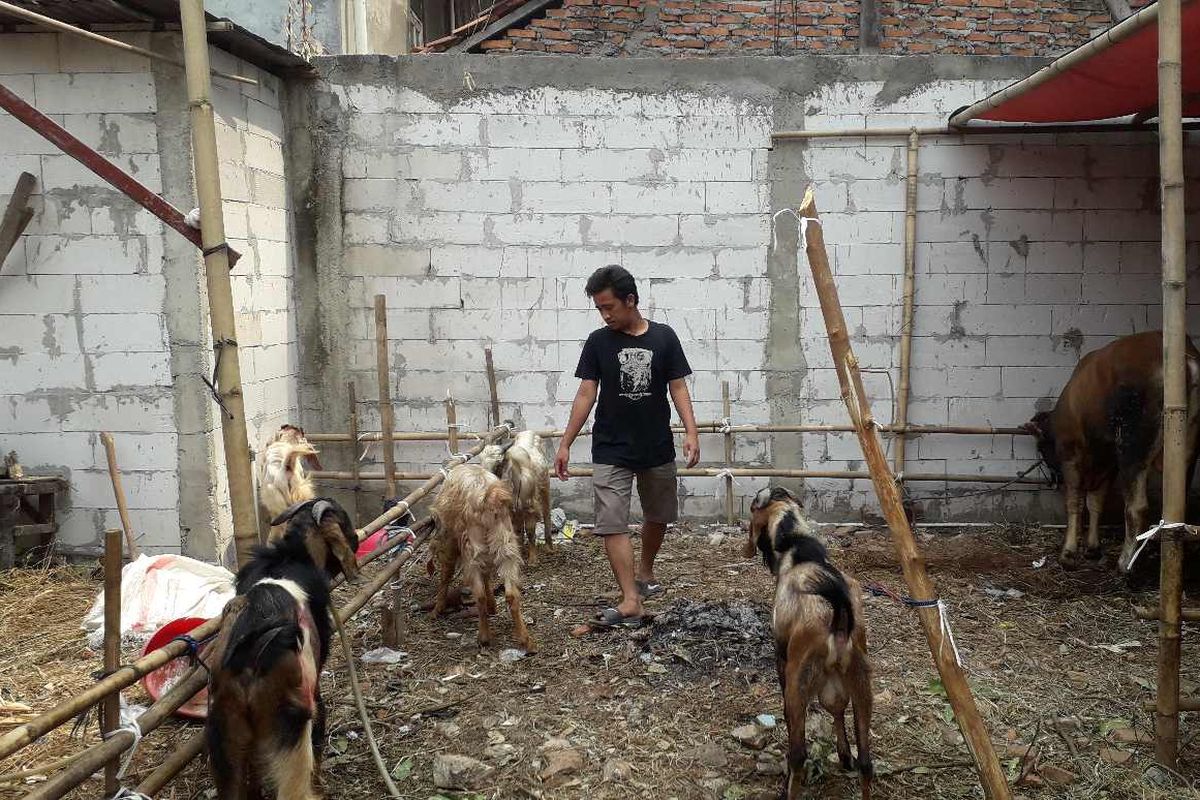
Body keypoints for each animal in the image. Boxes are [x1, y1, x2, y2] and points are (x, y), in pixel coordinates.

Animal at [206, 496, 357, 796]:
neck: (291, 557)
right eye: (344, 520)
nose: (357, 540)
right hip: (292, 730)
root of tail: (248, 658)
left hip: (227, 732)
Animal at [424, 465, 532, 652]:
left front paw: (436, 610)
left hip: (472, 550)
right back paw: (526, 640)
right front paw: (493, 606)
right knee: (511, 594)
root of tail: (490, 499)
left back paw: (484, 637)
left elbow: (446, 575)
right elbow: (487, 575)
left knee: (479, 595)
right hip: (506, 547)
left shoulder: (450, 543)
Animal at [477, 429, 552, 566]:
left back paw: (549, 547)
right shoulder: (510, 512)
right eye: (481, 461)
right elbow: (516, 531)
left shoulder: (529, 507)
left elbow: (530, 531)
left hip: (545, 486)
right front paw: (520, 554)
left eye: (498, 464)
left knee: (546, 513)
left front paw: (533, 559)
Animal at [739, 489, 873, 800]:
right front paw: (844, 755)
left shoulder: (782, 658)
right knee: (866, 761)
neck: (797, 545)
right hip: (861, 684)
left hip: (798, 683)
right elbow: (837, 708)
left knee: (798, 754)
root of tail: (838, 621)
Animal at [1022, 333, 1200, 575]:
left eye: (1041, 447)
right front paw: (1093, 548)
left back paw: (1126, 563)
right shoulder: (1108, 464)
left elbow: (1075, 502)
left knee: (1136, 506)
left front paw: (1068, 554)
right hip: (1187, 453)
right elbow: (1096, 502)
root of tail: (1186, 357)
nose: (1053, 479)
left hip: (1132, 448)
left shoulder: (1071, 455)